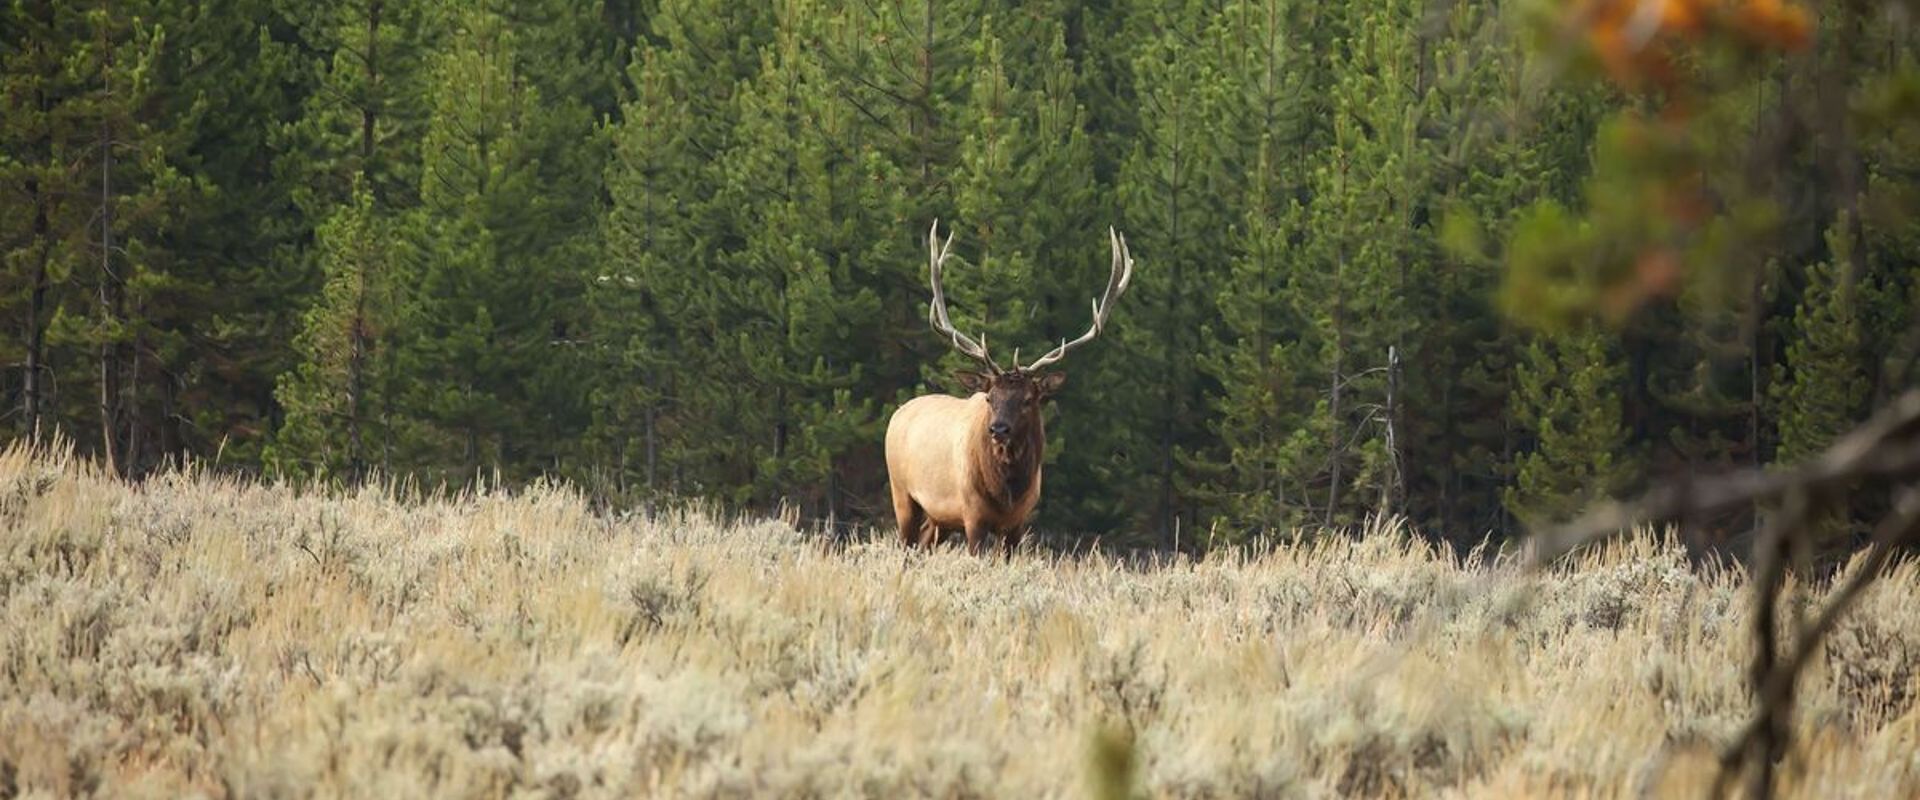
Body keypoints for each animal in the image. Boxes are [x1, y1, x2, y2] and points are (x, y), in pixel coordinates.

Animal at [884, 220, 1134, 557]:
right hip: (902, 494)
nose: (998, 429)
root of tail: (898, 413)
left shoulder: (1018, 522)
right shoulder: (972, 514)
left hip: (939, 519)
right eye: (990, 397)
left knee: (923, 543)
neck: (1007, 492)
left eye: (1029, 399)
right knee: (906, 544)